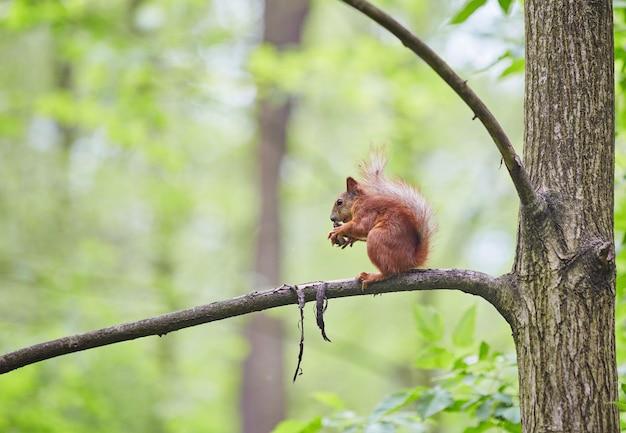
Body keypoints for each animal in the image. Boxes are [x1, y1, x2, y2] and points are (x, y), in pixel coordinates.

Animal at [326, 154, 434, 288]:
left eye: (339, 202)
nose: (332, 218)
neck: (358, 201)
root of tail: (410, 260)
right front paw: (350, 238)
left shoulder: (366, 211)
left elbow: (361, 227)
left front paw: (340, 229)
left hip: (377, 238)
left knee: (389, 272)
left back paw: (372, 276)